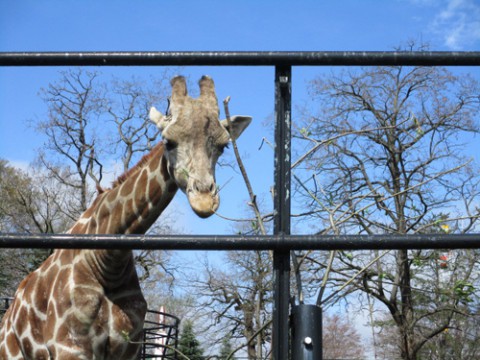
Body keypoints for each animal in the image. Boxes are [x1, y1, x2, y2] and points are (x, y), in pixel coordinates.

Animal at [0, 74, 253, 358]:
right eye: (169, 142)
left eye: (223, 146)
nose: (204, 200)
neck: (108, 260)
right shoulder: (69, 345)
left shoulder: (129, 346)